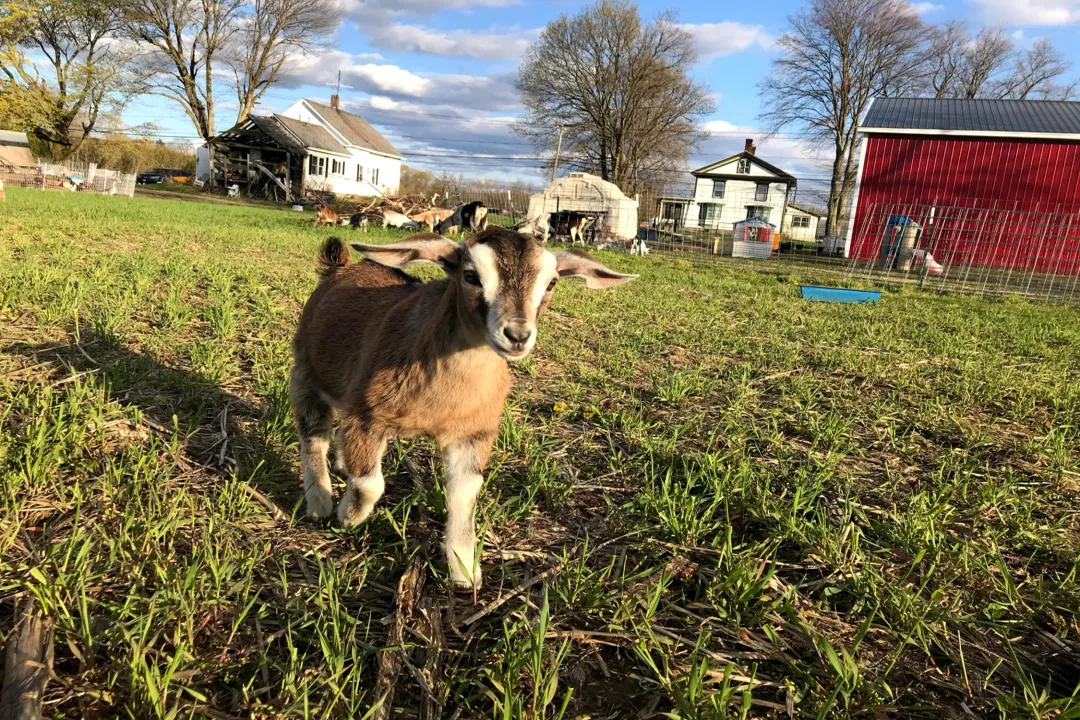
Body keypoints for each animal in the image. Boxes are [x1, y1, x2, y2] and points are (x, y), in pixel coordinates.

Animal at [291, 229, 637, 589]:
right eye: (470, 276)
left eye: (552, 282)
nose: (517, 335)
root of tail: (339, 268)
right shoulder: (367, 414)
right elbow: (370, 484)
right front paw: (350, 516)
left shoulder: (474, 433)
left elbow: (464, 494)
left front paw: (465, 570)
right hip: (306, 372)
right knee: (313, 435)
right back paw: (319, 502)